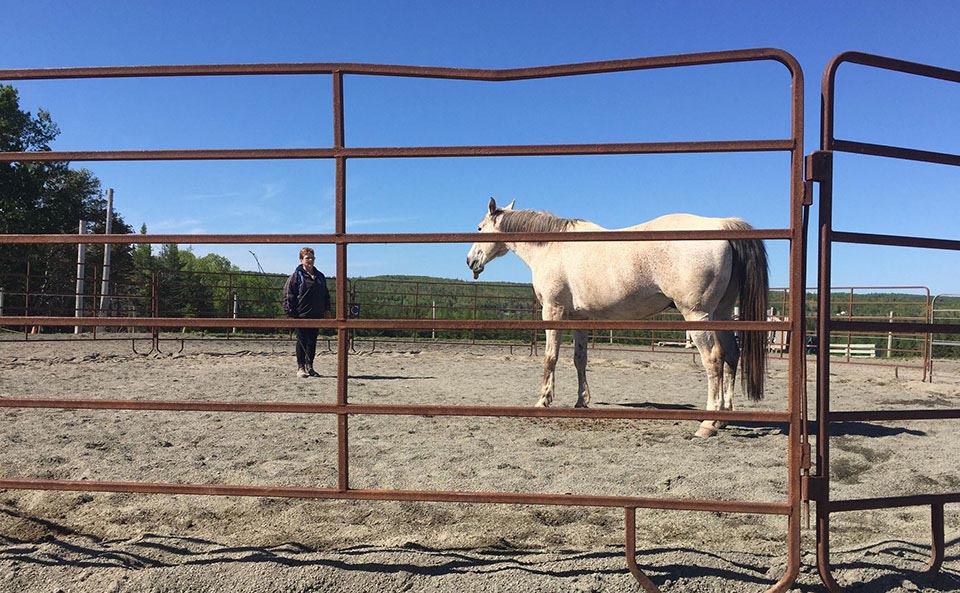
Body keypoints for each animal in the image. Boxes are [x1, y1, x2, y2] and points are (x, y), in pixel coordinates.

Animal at [462, 197, 768, 438]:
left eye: (479, 228)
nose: (470, 261)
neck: (552, 245)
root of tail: (722, 224)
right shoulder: (579, 320)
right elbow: (580, 359)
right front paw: (581, 402)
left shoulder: (553, 311)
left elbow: (550, 358)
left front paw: (543, 401)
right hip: (721, 313)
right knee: (731, 355)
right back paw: (724, 418)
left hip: (697, 315)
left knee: (714, 359)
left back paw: (708, 423)